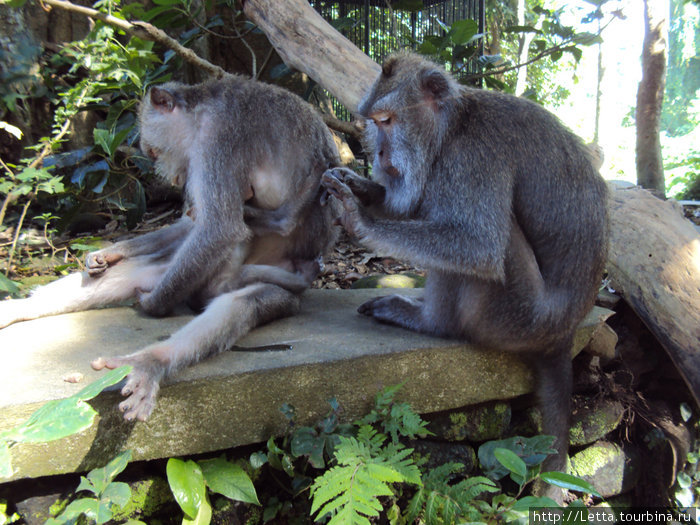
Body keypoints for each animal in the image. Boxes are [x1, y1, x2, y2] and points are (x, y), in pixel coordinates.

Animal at [0, 77, 340, 422]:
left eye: (154, 151)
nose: (171, 176)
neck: (202, 107)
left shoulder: (219, 139)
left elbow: (220, 228)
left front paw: (152, 305)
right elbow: (192, 224)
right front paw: (112, 252)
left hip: (271, 285)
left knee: (240, 303)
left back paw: (152, 360)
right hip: (184, 274)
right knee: (137, 273)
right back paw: (18, 309)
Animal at [322, 51, 608, 472]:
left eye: (387, 120)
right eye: (373, 122)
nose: (379, 156)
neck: (453, 126)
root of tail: (562, 334)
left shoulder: (471, 158)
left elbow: (479, 247)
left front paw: (360, 219)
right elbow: (408, 205)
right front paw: (356, 184)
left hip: (513, 314)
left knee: (490, 245)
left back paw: (431, 321)